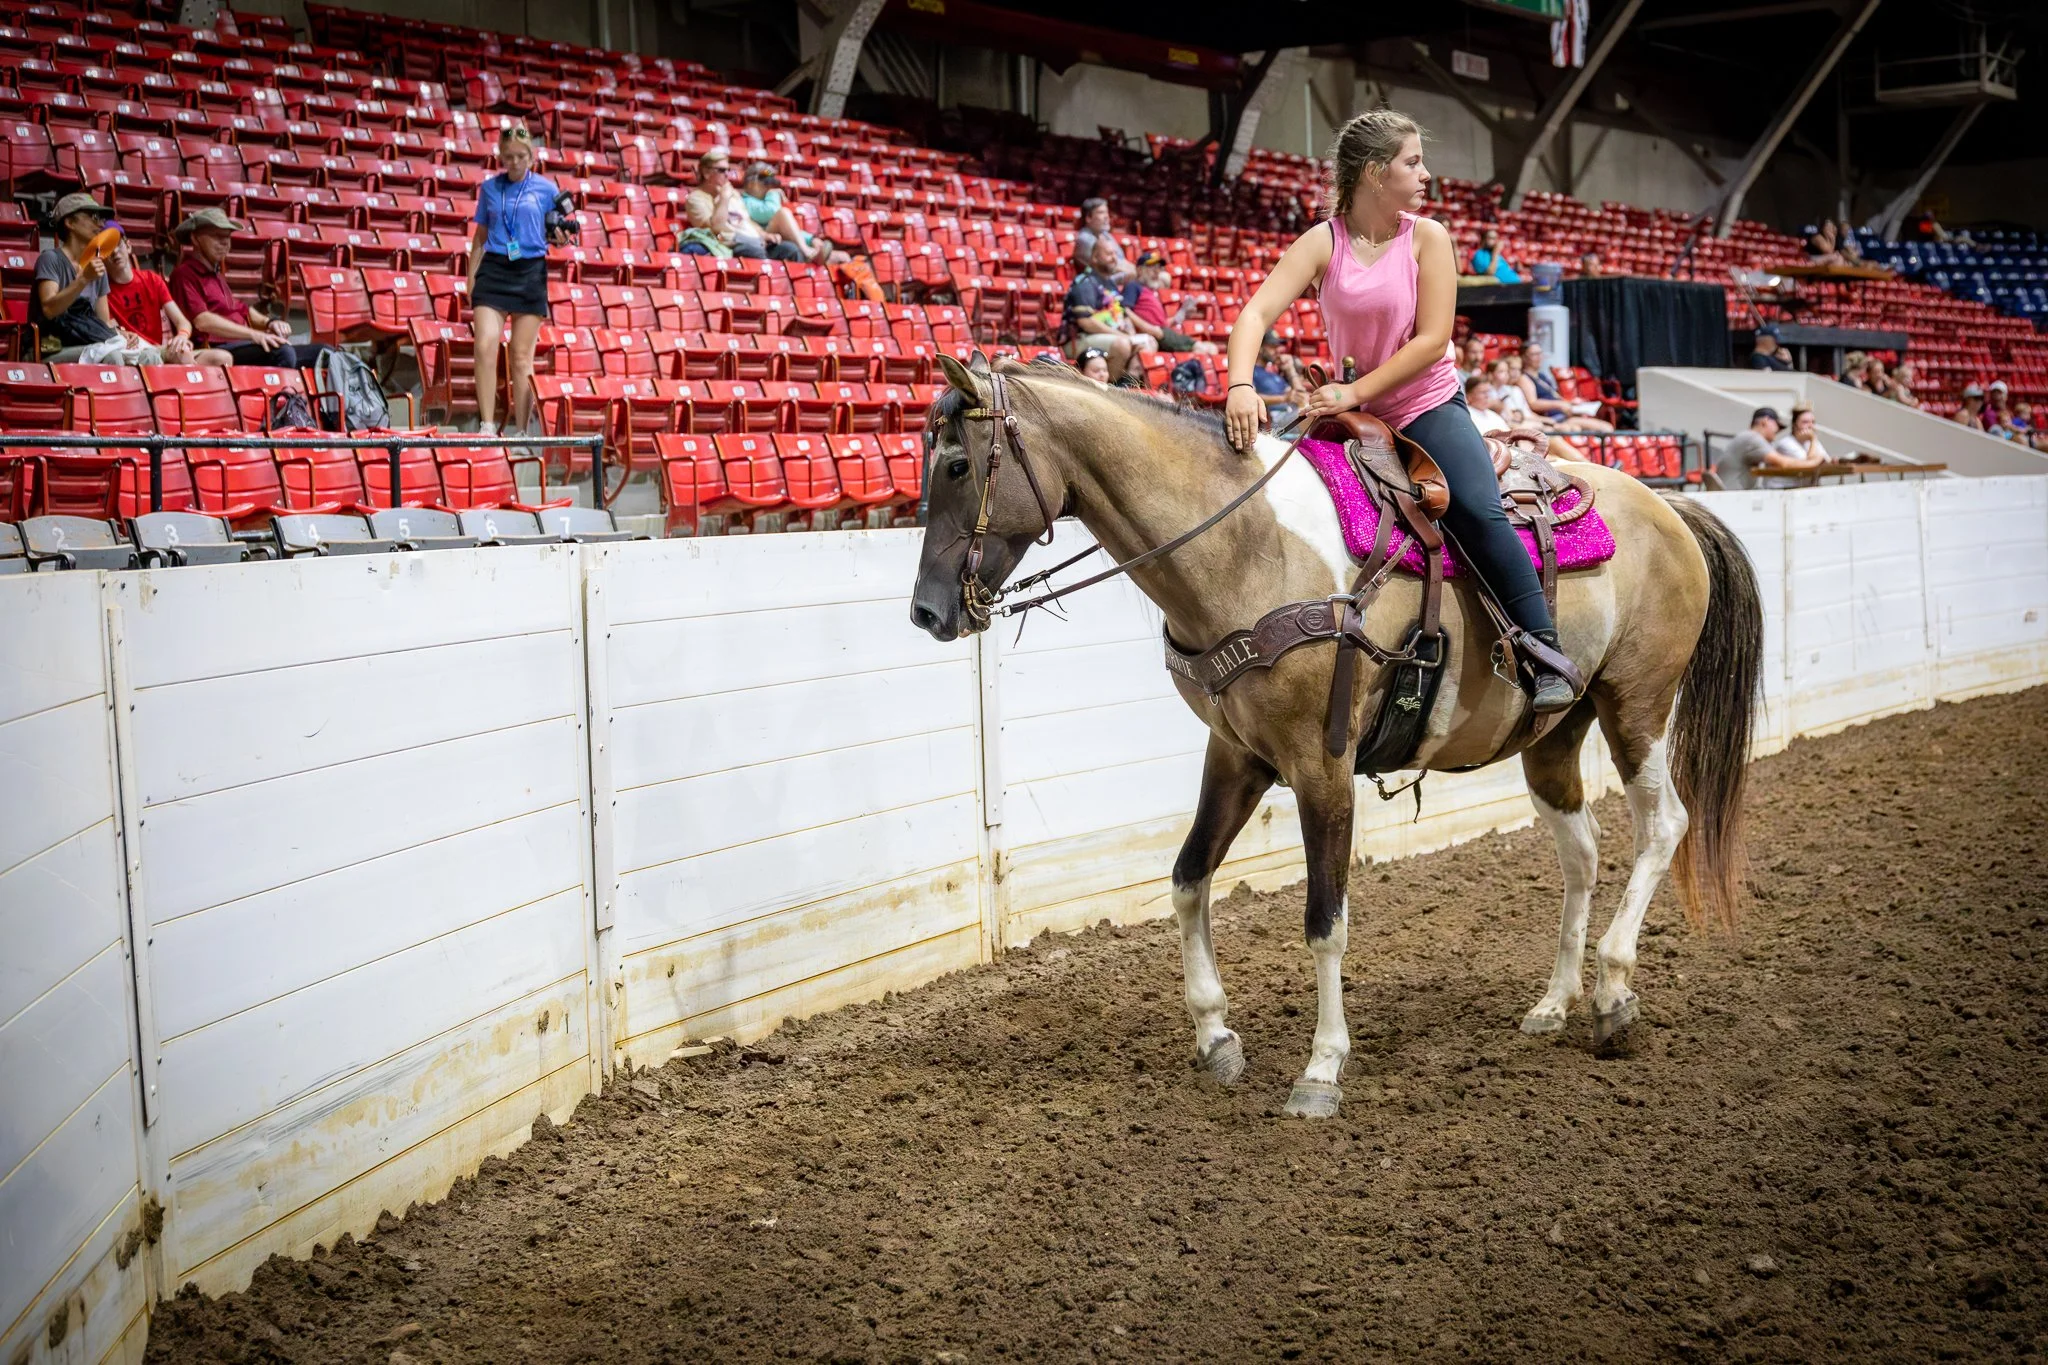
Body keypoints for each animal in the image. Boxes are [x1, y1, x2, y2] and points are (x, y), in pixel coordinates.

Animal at [909, 354, 1763, 1118]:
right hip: (1554, 730)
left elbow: (1325, 919)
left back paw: (1615, 991)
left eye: (957, 464)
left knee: (1665, 824)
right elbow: (1187, 880)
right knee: (1582, 852)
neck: (1249, 547)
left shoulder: (1322, 764)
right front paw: (1216, 1036)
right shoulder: (1237, 755)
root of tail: (1670, 509)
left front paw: (1321, 1068)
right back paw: (1555, 1003)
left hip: (1637, 705)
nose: (925, 611)